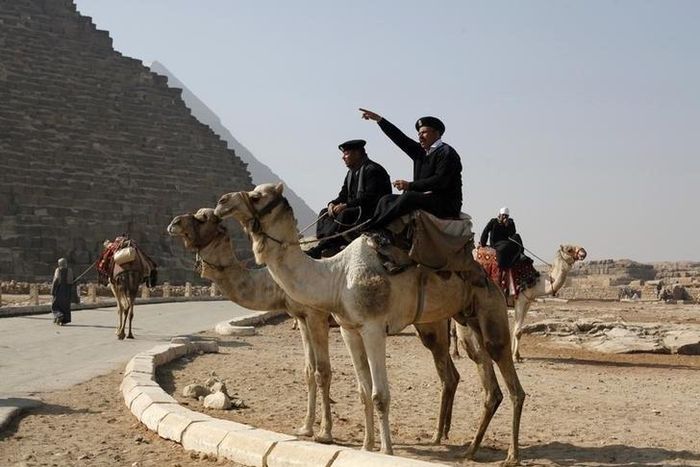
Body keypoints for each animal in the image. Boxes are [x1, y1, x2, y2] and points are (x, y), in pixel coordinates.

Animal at [167, 208, 462, 445]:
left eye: (203, 217)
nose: (173, 223)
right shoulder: (301, 318)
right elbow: (308, 371)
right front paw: (306, 427)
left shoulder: (317, 316)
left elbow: (323, 372)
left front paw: (325, 432)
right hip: (432, 322)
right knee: (451, 373)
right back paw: (444, 432)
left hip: (432, 323)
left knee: (446, 373)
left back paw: (438, 435)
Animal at [214, 183, 525, 464]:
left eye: (257, 195)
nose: (221, 203)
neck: (335, 275)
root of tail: (485, 274)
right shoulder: (348, 329)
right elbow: (363, 391)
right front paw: (366, 446)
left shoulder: (372, 327)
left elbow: (379, 394)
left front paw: (385, 450)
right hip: (462, 322)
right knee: (487, 386)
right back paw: (468, 449)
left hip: (491, 311)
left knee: (511, 381)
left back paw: (511, 455)